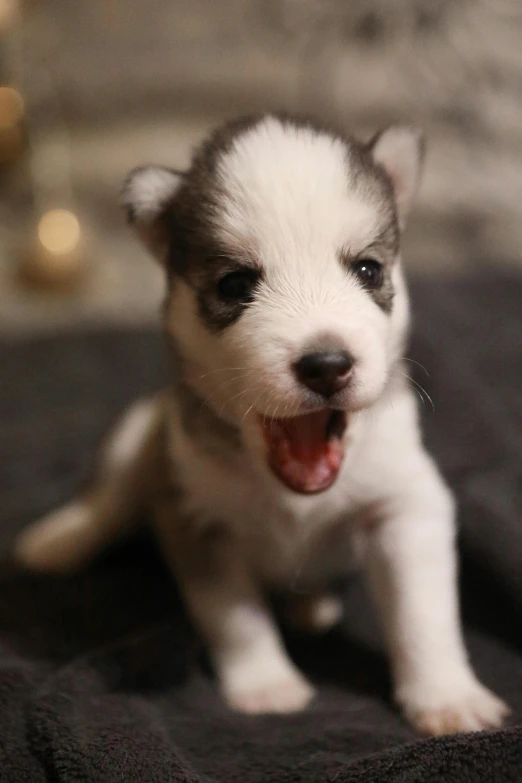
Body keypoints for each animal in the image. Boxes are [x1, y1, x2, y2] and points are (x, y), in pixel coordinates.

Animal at [15, 113, 504, 740]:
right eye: (233, 284)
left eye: (368, 269)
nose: (326, 364)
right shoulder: (194, 513)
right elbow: (235, 615)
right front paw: (266, 686)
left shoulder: (407, 505)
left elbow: (423, 612)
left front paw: (447, 696)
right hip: (140, 433)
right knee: (109, 500)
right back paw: (59, 539)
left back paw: (312, 604)